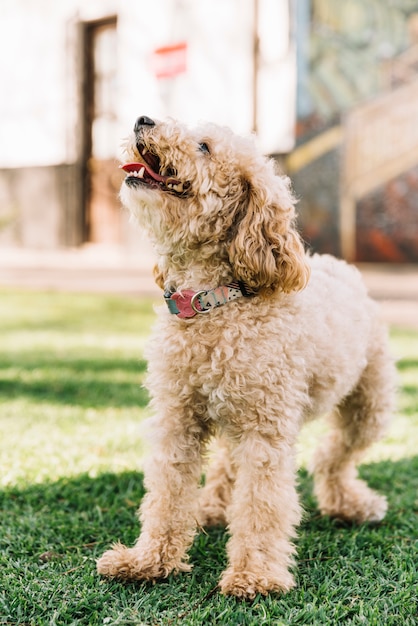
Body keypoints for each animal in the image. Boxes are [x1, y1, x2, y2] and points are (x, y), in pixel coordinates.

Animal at [97, 114, 396, 596]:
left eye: (204, 146)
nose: (143, 119)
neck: (213, 304)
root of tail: (339, 264)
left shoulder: (264, 428)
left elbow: (261, 504)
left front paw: (254, 576)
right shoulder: (177, 418)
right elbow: (166, 494)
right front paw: (148, 561)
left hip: (369, 405)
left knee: (333, 456)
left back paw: (352, 504)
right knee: (230, 463)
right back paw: (214, 506)